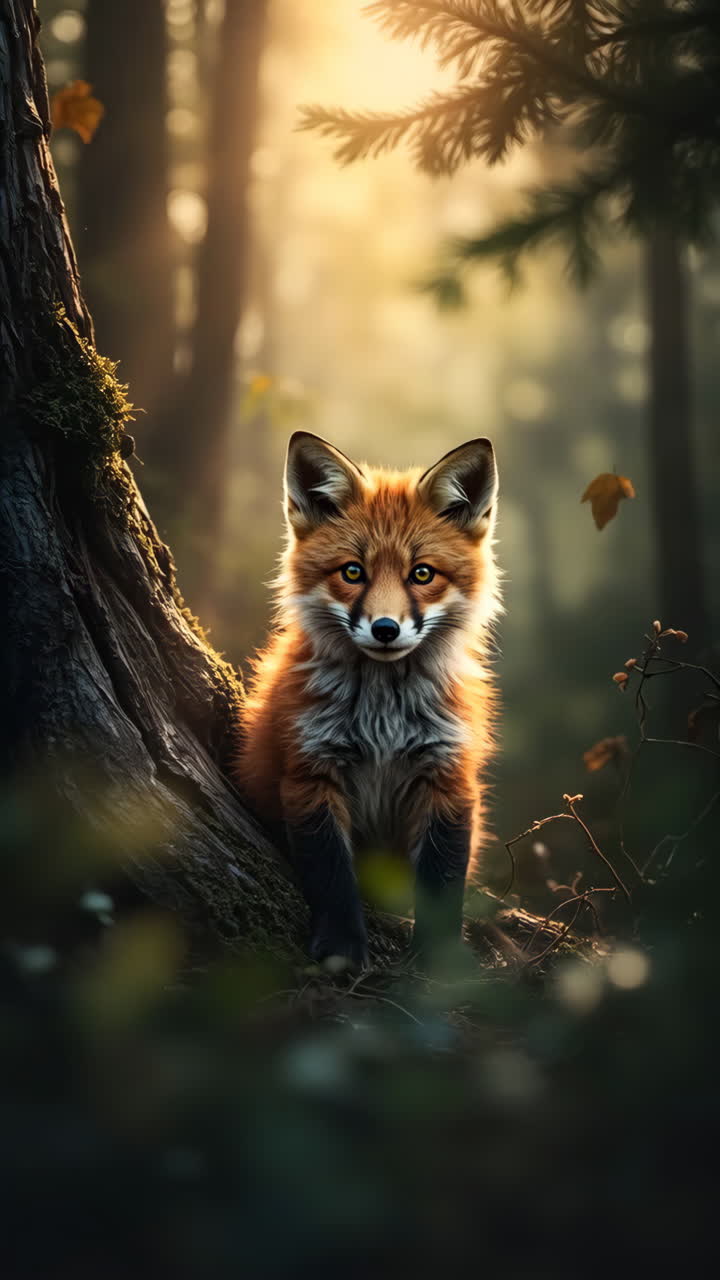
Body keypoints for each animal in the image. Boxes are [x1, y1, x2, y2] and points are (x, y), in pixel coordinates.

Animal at [237, 431, 501, 969]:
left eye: (422, 574)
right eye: (353, 572)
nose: (385, 629)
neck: (384, 720)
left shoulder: (447, 778)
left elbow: (442, 884)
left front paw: (440, 964)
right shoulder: (310, 774)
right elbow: (333, 877)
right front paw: (342, 949)